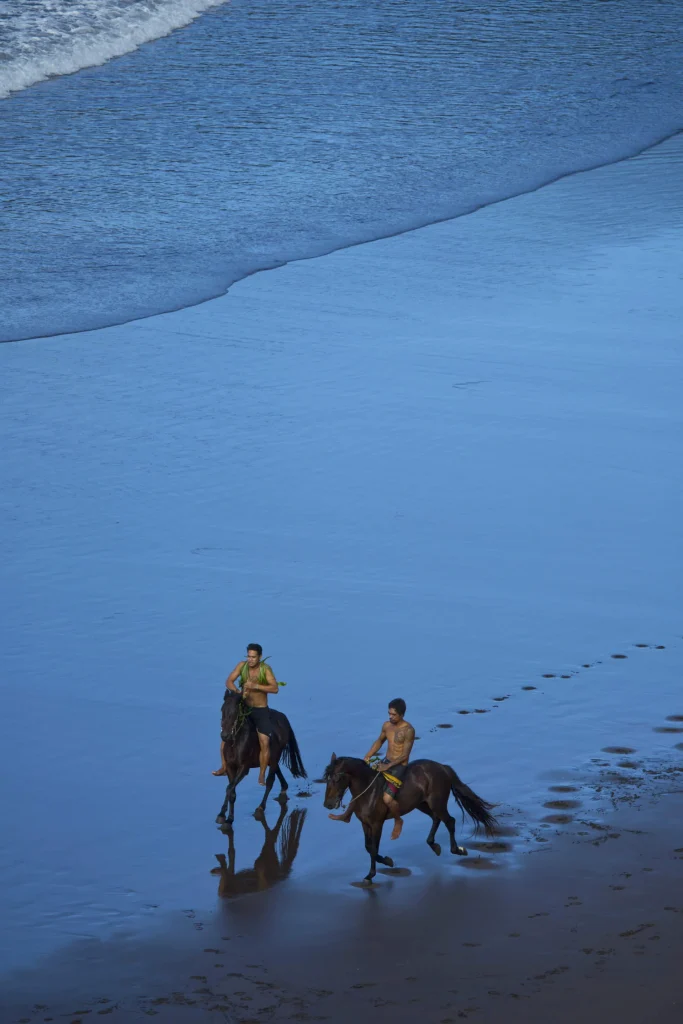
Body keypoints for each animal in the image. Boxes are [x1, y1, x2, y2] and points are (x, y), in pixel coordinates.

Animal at [216, 688, 307, 823]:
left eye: (235, 712)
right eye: (222, 710)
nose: (225, 736)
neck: (236, 742)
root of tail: (283, 718)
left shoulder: (244, 768)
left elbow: (229, 788)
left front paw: (223, 815)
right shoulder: (230, 767)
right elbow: (231, 791)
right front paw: (227, 817)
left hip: (274, 757)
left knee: (270, 781)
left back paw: (260, 808)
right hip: (272, 759)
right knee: (278, 774)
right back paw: (283, 792)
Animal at [321, 753, 497, 888]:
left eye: (336, 778)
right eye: (326, 778)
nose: (328, 804)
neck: (368, 792)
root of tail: (442, 767)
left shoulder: (377, 823)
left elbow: (373, 849)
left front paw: (373, 873)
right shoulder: (365, 824)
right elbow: (368, 847)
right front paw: (385, 863)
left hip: (437, 803)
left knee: (450, 821)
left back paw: (458, 850)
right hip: (421, 804)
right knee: (436, 819)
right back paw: (434, 845)